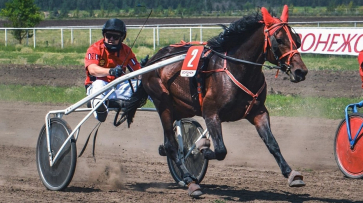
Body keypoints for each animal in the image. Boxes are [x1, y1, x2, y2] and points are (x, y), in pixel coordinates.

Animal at [141, 5, 308, 197]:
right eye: (279, 40)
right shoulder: (210, 113)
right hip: (163, 104)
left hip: (181, 106)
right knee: (171, 145)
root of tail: (153, 60)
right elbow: (220, 150)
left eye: (297, 40)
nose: (301, 71)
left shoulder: (258, 112)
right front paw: (203, 147)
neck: (238, 70)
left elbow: (272, 143)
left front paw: (291, 173)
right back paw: (190, 180)